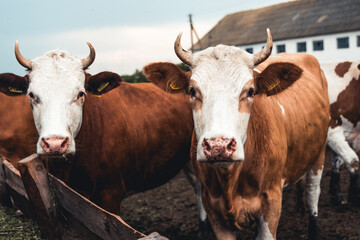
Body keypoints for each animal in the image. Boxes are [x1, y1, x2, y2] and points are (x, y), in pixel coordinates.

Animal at [144, 30, 330, 240]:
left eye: (250, 91)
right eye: (192, 91)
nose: (218, 146)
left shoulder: (272, 200)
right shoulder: (211, 206)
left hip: (319, 152)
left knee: (313, 191)